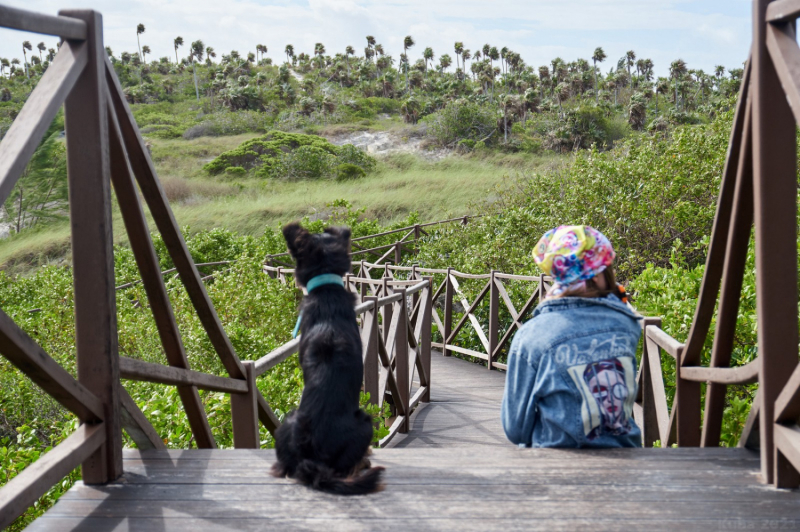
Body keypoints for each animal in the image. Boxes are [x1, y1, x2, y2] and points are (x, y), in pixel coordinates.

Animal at [272, 221, 384, 494]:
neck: (327, 289)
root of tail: (311, 459)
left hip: (288, 420)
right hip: (365, 421)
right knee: (349, 467)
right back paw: (364, 461)